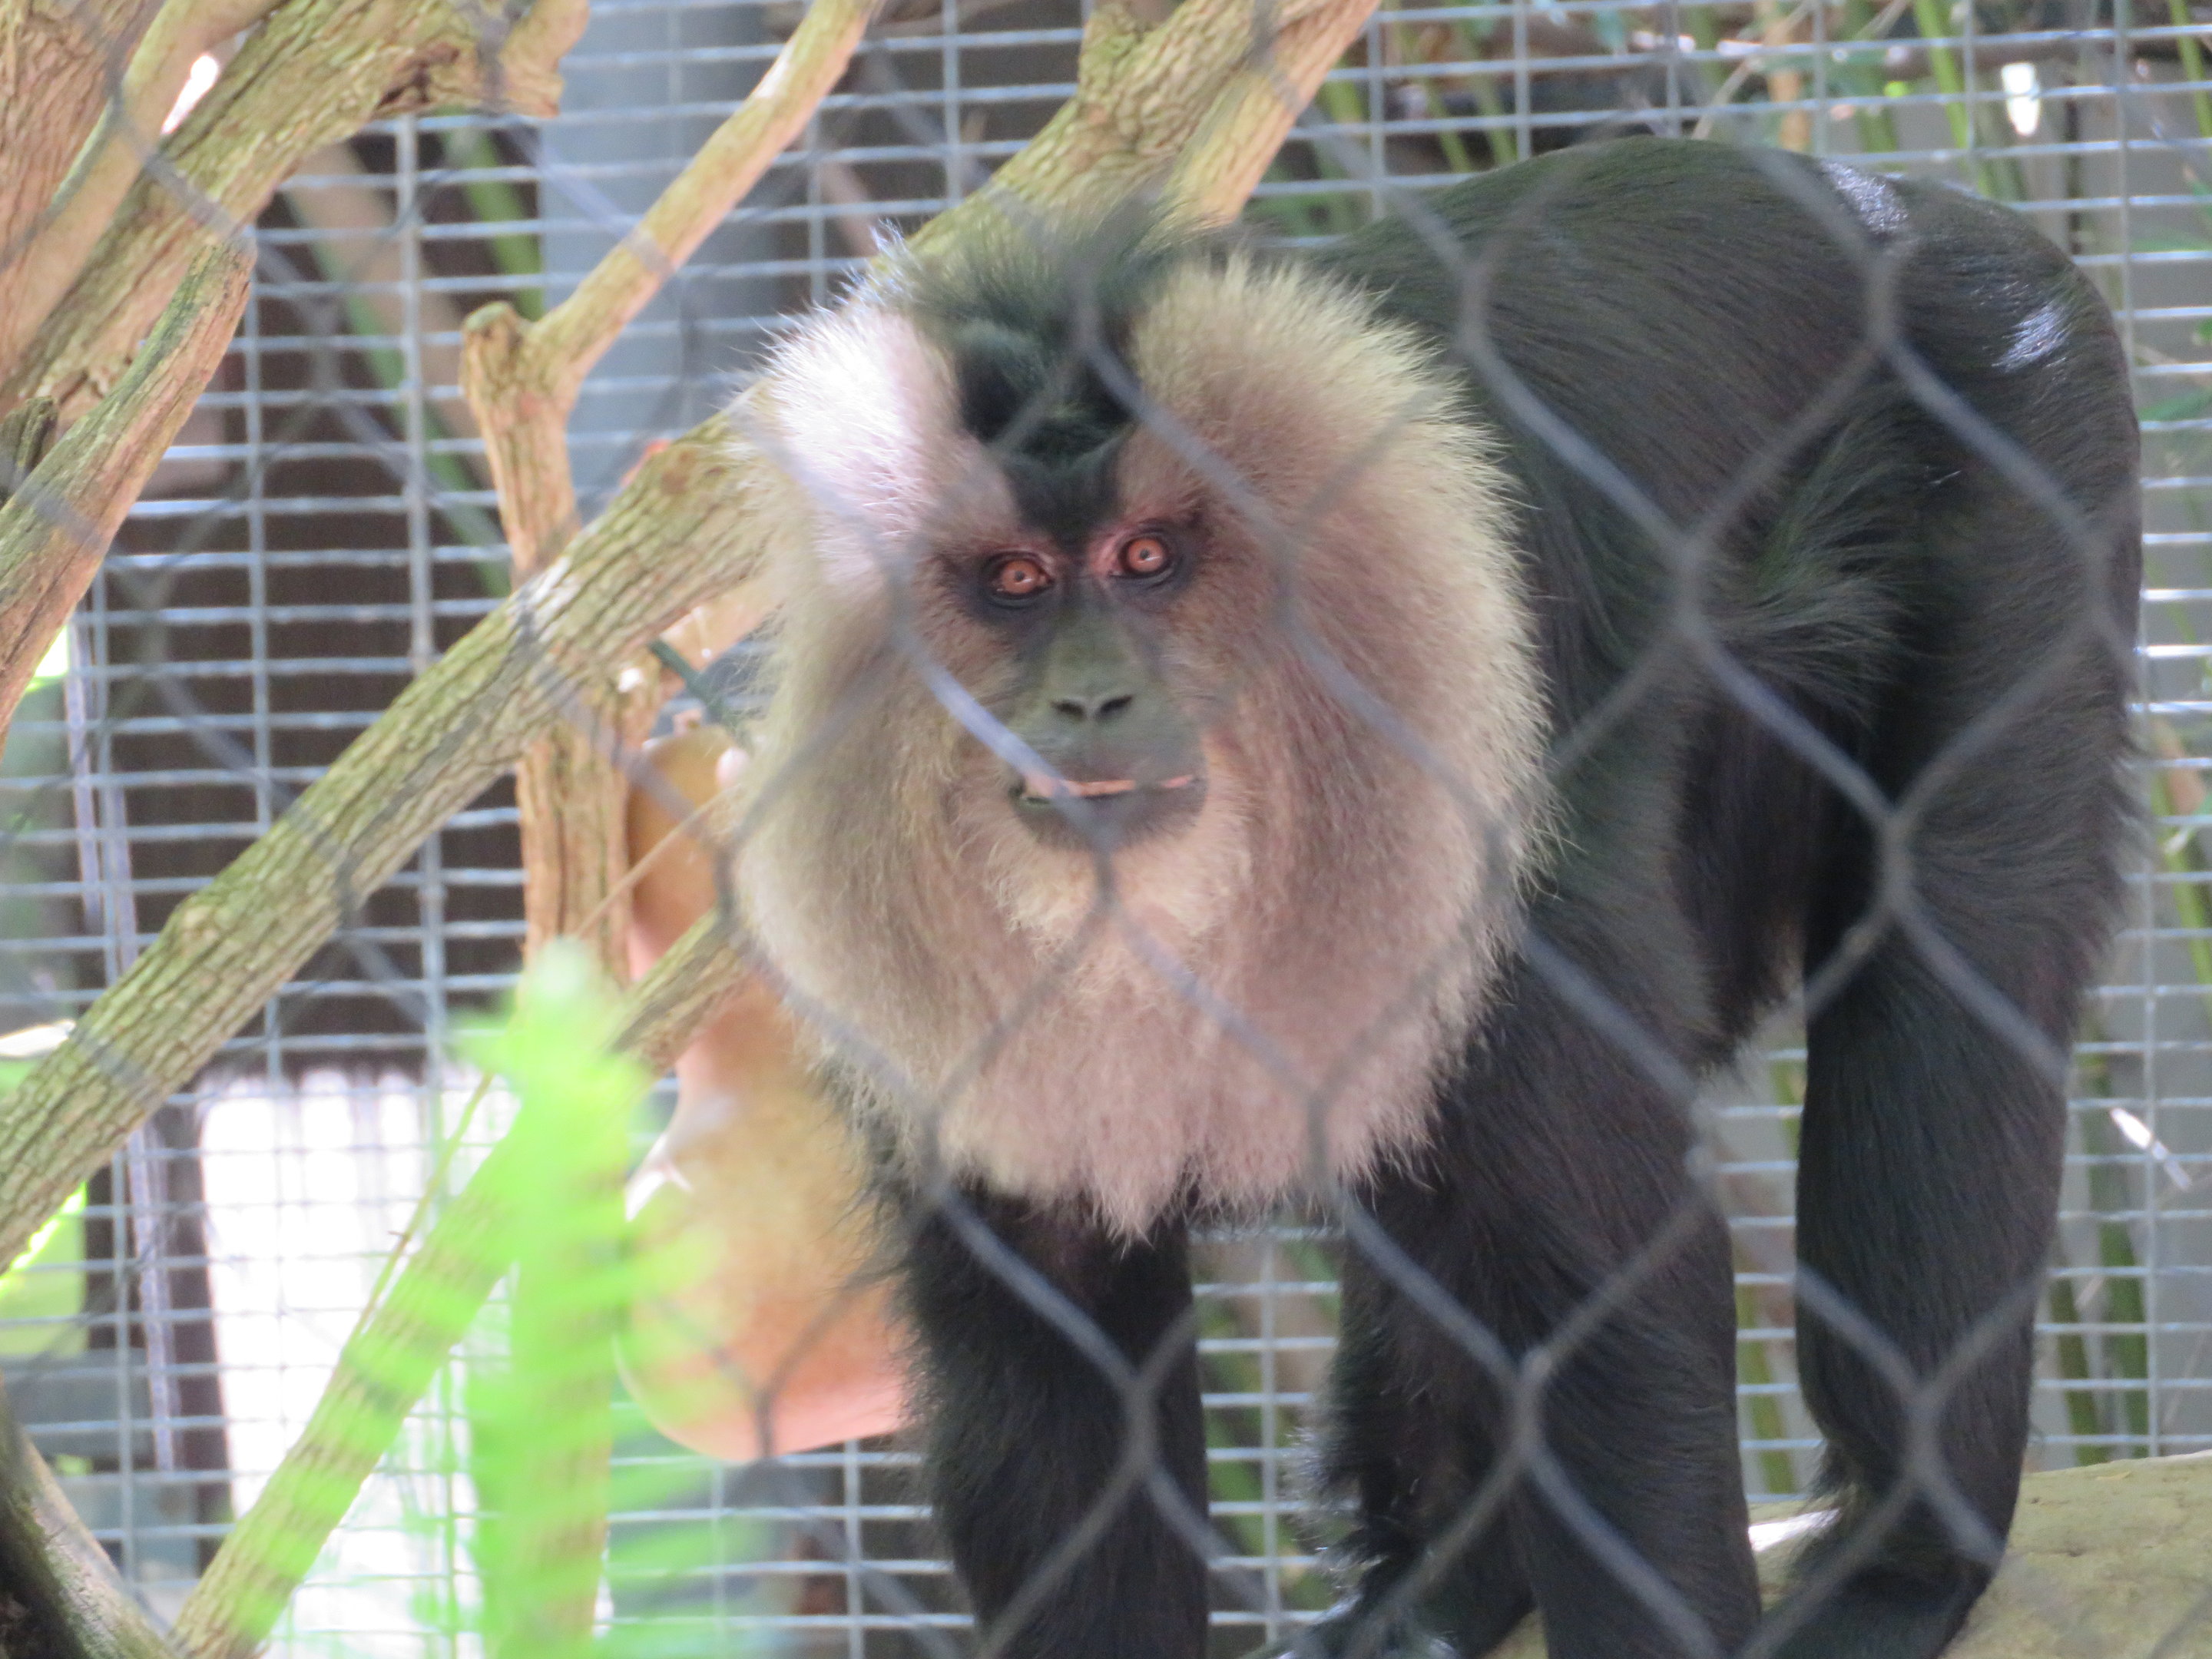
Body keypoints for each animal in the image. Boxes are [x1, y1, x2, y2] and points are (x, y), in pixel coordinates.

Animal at [721, 136, 2141, 1659]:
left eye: (1149, 560)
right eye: (1017, 580)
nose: (1085, 702)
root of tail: (1928, 213)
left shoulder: (1492, 852)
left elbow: (1604, 1290)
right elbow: (1049, 1324)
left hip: (2028, 426)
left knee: (1954, 949)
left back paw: (1906, 1560)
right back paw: (1453, 1580)